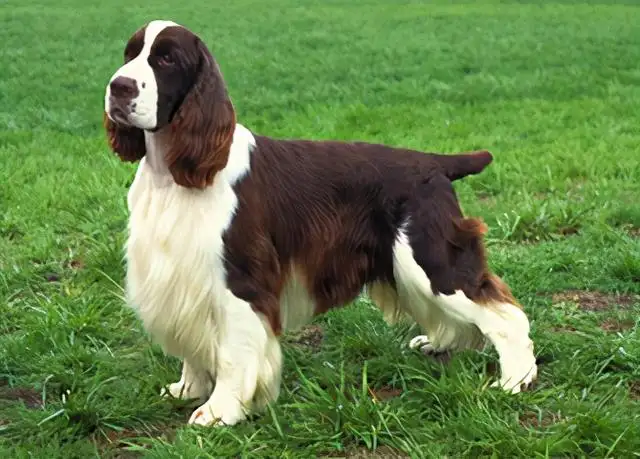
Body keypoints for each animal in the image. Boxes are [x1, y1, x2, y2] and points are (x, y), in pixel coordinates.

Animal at [104, 18, 536, 428]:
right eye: (129, 52)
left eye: (166, 59)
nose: (118, 86)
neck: (174, 174)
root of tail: (435, 162)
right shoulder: (179, 273)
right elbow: (192, 344)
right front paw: (187, 389)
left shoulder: (239, 277)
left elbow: (231, 353)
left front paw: (220, 411)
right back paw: (442, 345)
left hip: (429, 258)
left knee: (505, 314)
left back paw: (514, 380)